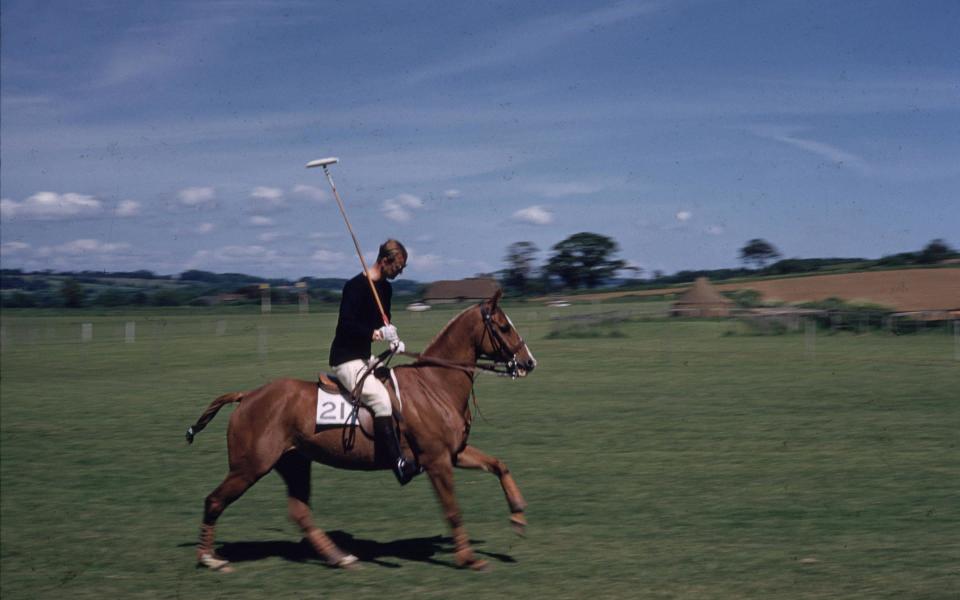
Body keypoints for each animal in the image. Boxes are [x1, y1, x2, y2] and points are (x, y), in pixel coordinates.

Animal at [184, 290, 536, 572]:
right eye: (503, 326)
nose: (529, 362)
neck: (436, 383)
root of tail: (247, 396)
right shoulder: (437, 460)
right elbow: (452, 510)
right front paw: (468, 558)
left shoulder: (454, 453)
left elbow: (499, 465)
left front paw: (518, 515)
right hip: (250, 466)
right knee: (214, 501)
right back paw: (209, 558)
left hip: (294, 462)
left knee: (299, 511)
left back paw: (340, 557)